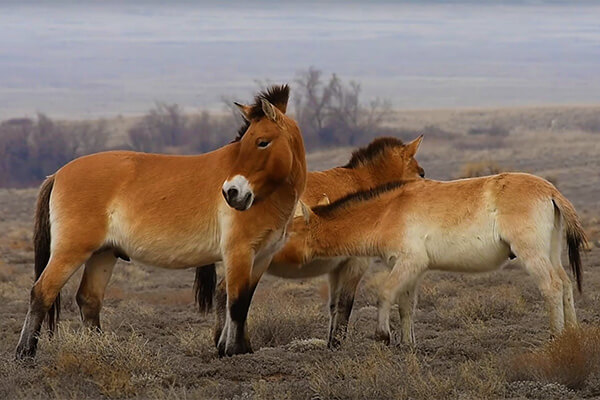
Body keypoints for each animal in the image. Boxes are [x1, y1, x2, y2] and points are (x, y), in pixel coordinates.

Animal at [16, 85, 308, 360]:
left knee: (88, 300)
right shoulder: (239, 252)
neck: (266, 195)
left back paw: (98, 350)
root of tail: (57, 174)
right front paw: (234, 351)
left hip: (103, 254)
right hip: (71, 252)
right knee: (42, 292)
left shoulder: (261, 257)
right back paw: (25, 353)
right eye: (246, 142)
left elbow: (240, 300)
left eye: (262, 142)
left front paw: (239, 349)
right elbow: (235, 302)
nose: (231, 193)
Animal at [196, 136, 422, 348]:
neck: (361, 183)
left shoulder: (337, 265)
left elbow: (334, 305)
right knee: (226, 293)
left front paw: (332, 343)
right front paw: (338, 343)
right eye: (421, 173)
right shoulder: (355, 263)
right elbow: (346, 304)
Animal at [280, 165, 584, 344]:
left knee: (551, 286)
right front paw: (407, 345)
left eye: (291, 232)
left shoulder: (408, 263)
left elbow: (385, 294)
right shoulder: (411, 269)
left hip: (532, 254)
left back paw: (556, 337)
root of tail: (551, 190)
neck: (389, 210)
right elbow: (406, 306)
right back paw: (572, 334)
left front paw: (383, 335)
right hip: (551, 253)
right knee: (565, 284)